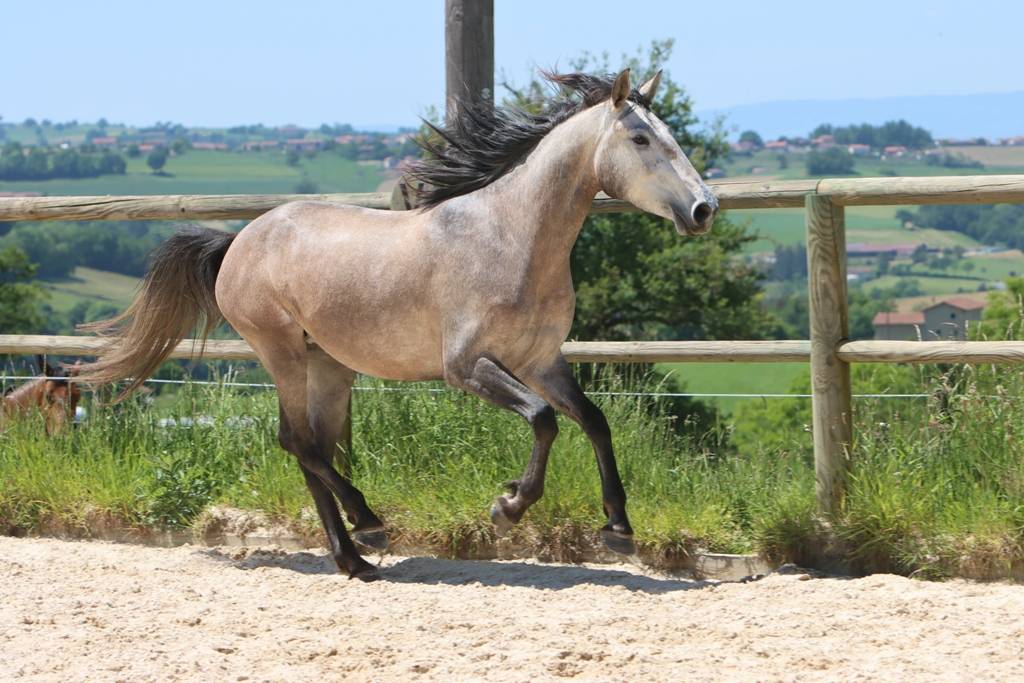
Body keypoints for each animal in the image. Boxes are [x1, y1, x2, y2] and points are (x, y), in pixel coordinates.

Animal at [76, 69, 718, 581]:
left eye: (671, 136)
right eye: (641, 138)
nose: (704, 209)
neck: (513, 238)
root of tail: (239, 240)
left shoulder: (541, 360)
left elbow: (592, 421)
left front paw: (618, 528)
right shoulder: (466, 367)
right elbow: (542, 420)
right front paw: (508, 506)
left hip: (326, 363)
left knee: (312, 444)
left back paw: (355, 555)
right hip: (280, 350)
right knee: (297, 441)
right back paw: (368, 528)